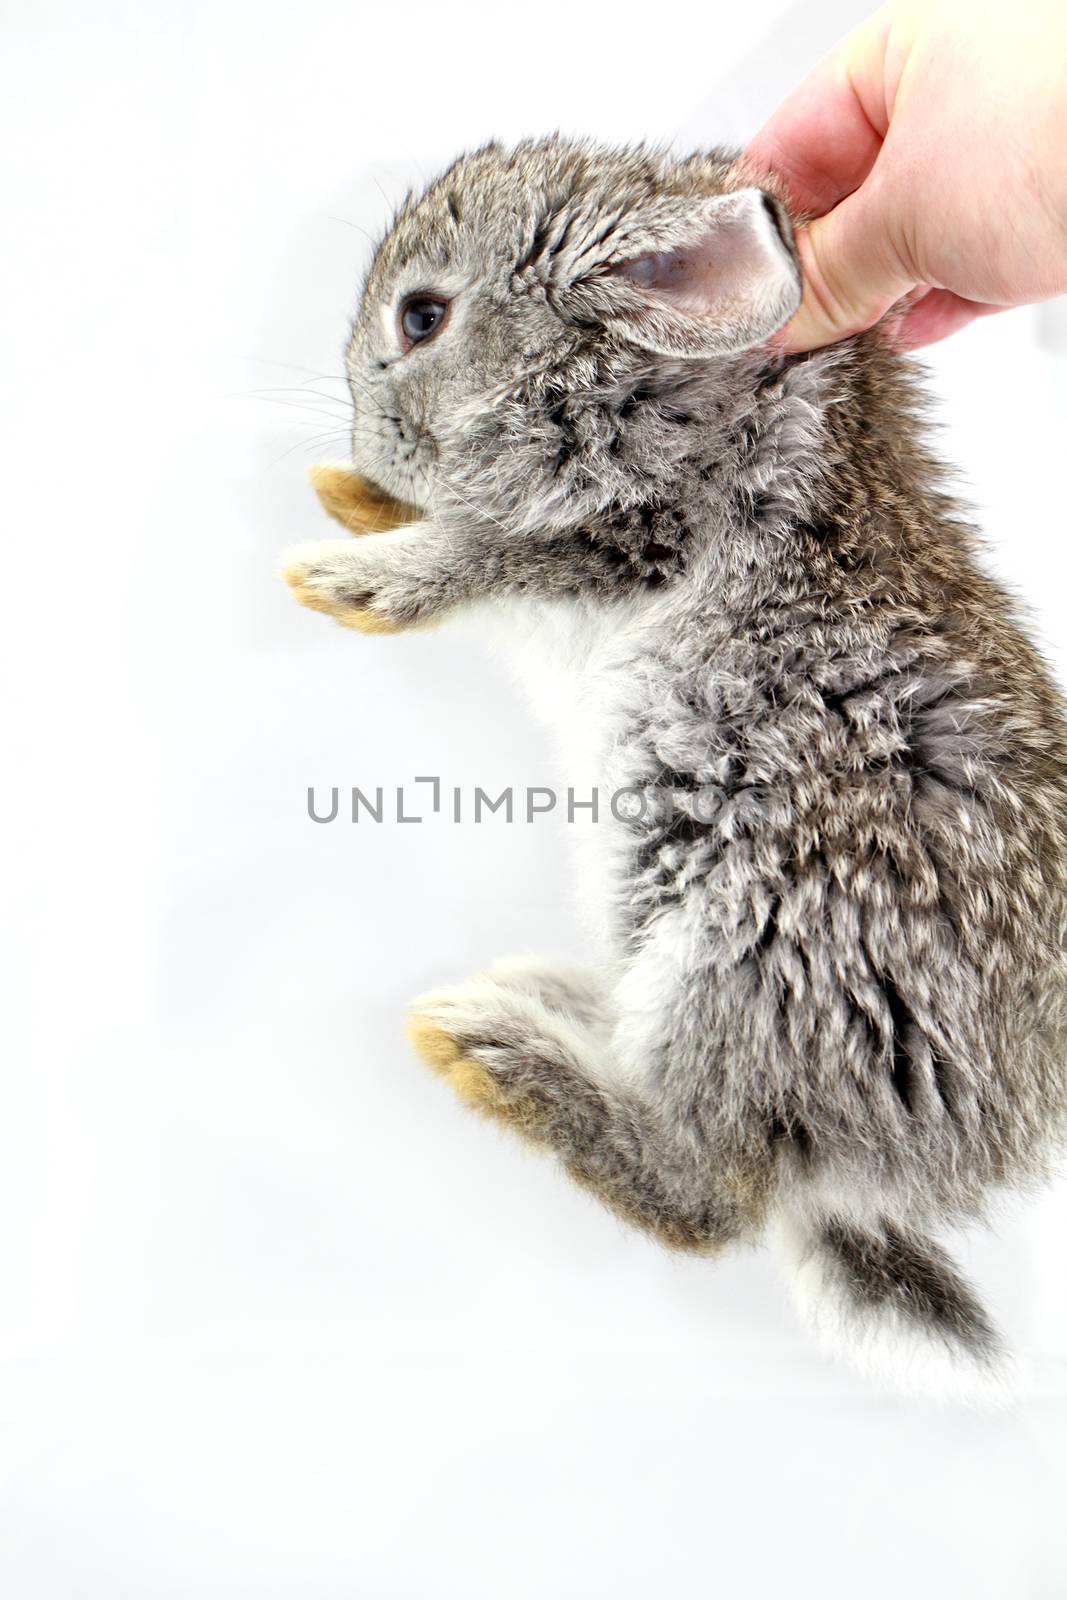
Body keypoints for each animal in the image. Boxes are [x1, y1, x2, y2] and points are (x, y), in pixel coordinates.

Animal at [281, 140, 1067, 1401]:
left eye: (422, 316)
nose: (365, 445)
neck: (681, 394)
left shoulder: (625, 539)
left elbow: (481, 551)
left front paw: (346, 577)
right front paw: (348, 502)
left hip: (750, 952)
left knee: (709, 1196)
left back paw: (492, 1049)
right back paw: (547, 1000)